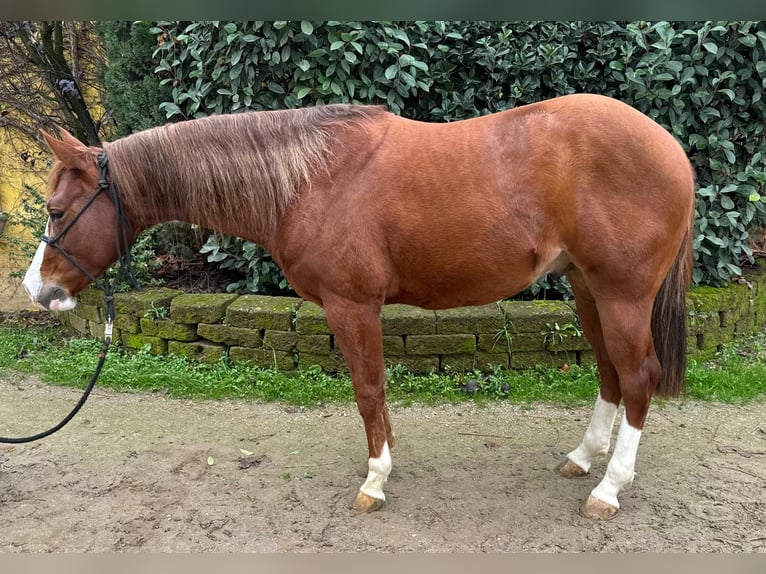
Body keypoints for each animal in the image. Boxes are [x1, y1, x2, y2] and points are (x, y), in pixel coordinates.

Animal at [22, 95, 696, 520]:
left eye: (57, 211)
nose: (37, 291)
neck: (307, 178)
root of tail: (672, 149)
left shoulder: (351, 305)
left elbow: (368, 389)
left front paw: (375, 479)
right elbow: (375, 392)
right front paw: (384, 463)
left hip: (622, 294)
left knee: (639, 376)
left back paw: (609, 488)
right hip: (586, 288)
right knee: (609, 373)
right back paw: (584, 459)